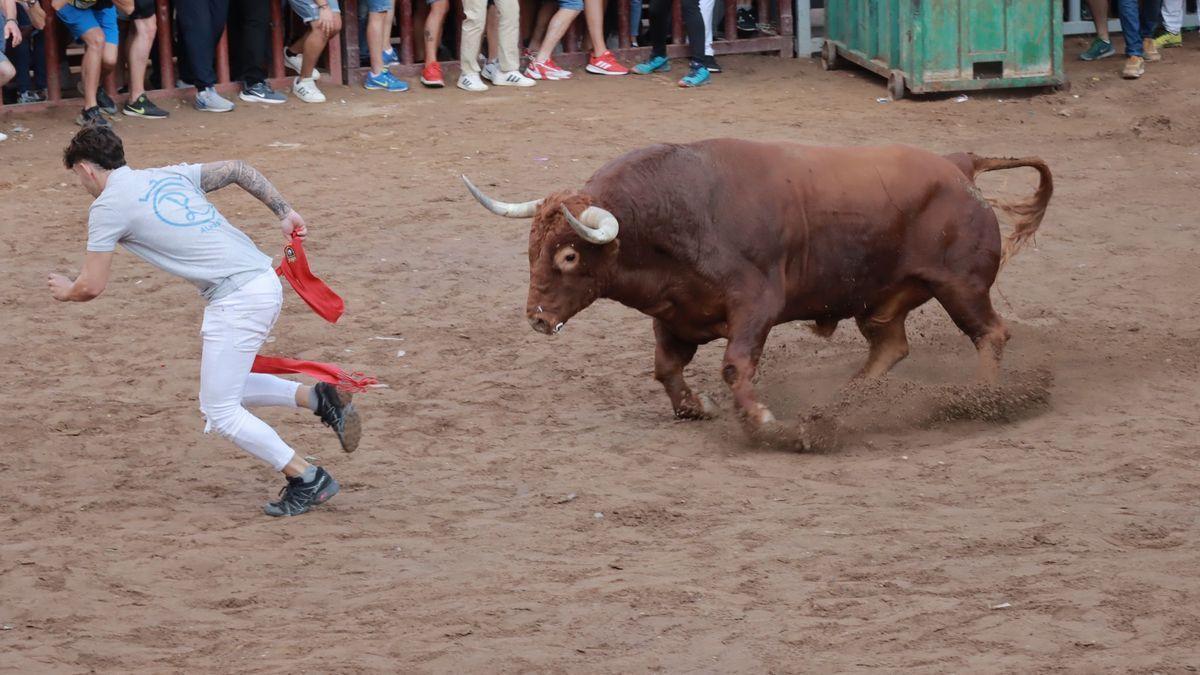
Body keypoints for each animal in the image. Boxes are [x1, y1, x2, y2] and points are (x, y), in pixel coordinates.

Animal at [463, 139, 1056, 444]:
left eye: (567, 256)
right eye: (532, 247)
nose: (537, 317)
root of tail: (959, 165)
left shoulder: (756, 306)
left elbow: (735, 365)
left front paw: (763, 420)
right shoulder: (674, 314)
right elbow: (665, 367)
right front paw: (693, 407)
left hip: (960, 287)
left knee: (990, 333)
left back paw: (981, 398)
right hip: (880, 302)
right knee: (891, 346)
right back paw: (846, 403)